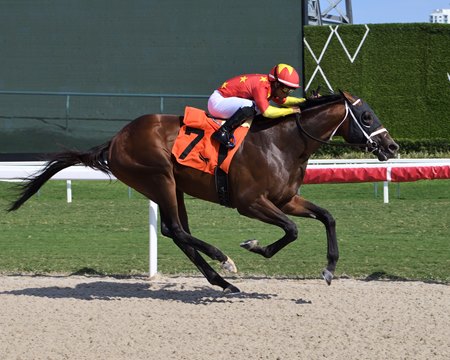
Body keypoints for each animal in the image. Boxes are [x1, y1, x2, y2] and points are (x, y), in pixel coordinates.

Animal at [8, 90, 400, 292]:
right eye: (366, 116)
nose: (392, 147)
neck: (282, 142)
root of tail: (116, 139)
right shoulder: (250, 202)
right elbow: (291, 230)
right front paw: (254, 246)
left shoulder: (285, 198)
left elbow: (326, 217)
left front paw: (330, 267)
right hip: (159, 177)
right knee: (177, 229)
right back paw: (222, 259)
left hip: (171, 186)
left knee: (175, 231)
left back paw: (221, 280)